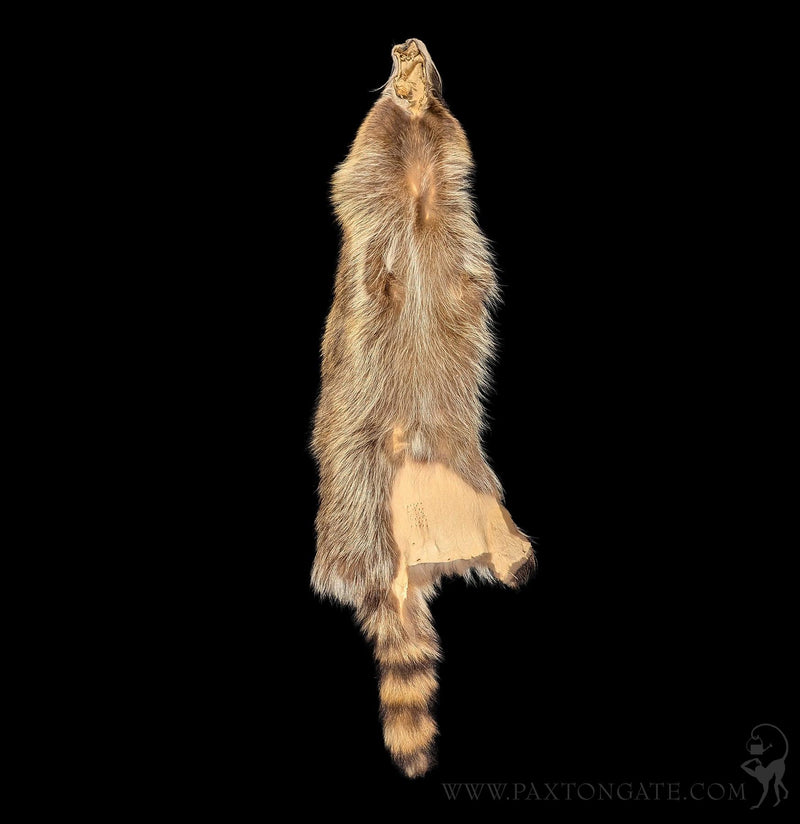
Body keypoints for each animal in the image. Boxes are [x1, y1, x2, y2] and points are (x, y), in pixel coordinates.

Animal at [311, 38, 534, 778]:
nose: (405, 43)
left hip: (481, 492)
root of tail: (412, 565)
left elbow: (468, 258)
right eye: (395, 56)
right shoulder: (367, 175)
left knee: (502, 532)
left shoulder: (450, 182)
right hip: (358, 502)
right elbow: (367, 240)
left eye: (423, 54)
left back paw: (514, 554)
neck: (415, 163)